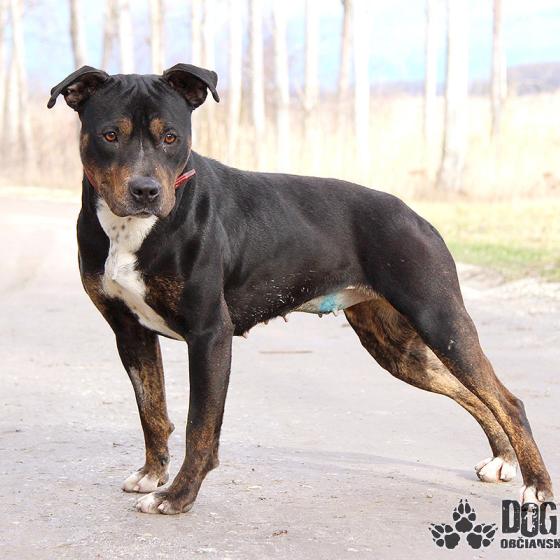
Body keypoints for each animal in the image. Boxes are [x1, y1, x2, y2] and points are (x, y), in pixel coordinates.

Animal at [47, 64, 553, 515]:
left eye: (171, 137)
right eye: (109, 135)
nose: (146, 190)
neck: (133, 230)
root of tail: (417, 217)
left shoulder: (209, 334)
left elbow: (200, 426)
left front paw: (177, 497)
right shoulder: (130, 333)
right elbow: (151, 411)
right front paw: (153, 475)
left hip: (439, 318)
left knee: (506, 400)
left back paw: (538, 487)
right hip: (399, 348)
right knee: (473, 393)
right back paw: (503, 461)